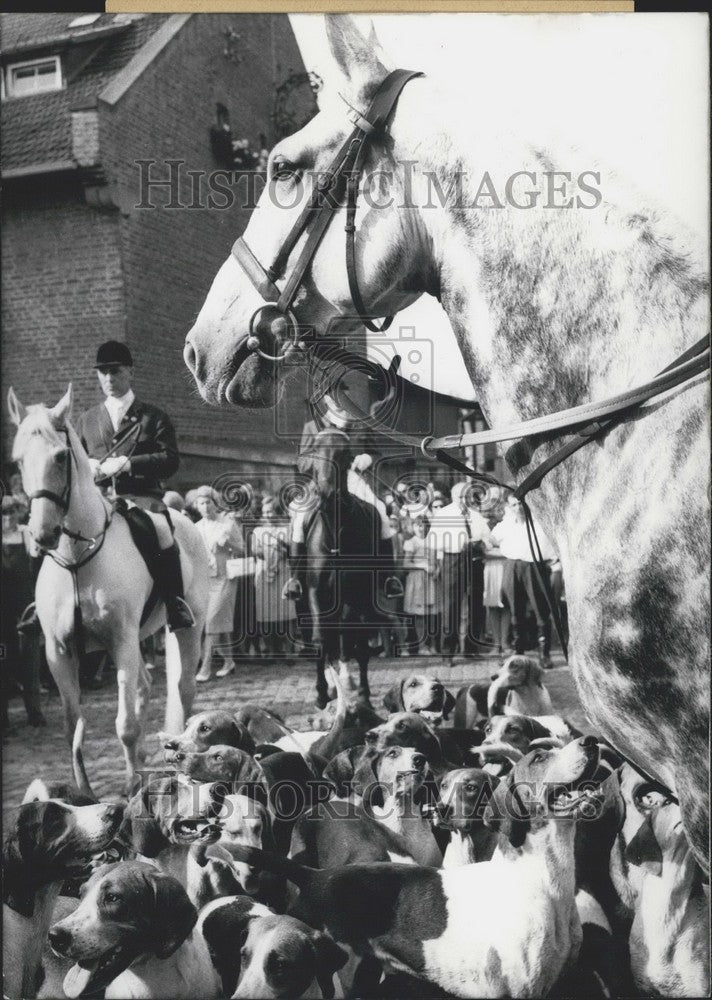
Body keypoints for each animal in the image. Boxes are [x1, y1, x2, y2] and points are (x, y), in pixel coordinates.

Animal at [7, 386, 209, 792]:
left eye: (60, 456)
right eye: (18, 460)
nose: (42, 535)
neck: (77, 558)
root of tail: (187, 521)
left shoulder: (122, 640)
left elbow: (125, 724)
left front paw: (131, 787)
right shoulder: (58, 651)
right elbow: (73, 728)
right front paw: (83, 791)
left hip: (184, 630)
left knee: (182, 690)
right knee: (145, 685)